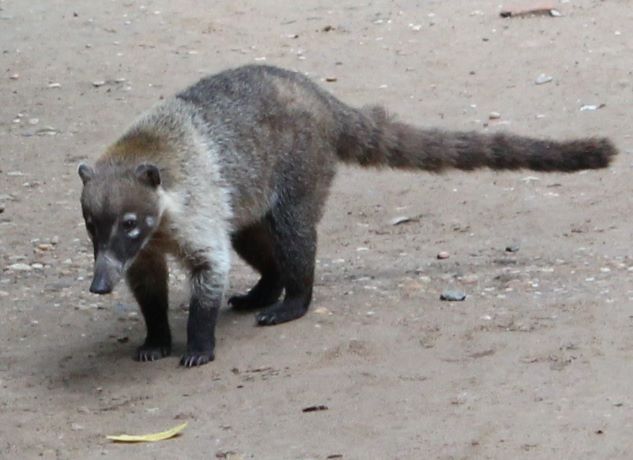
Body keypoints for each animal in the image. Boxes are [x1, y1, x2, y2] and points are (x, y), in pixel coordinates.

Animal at [78, 64, 617, 367]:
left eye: (129, 223)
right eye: (91, 226)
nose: (98, 286)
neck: (142, 155)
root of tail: (325, 101)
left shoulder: (195, 207)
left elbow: (211, 267)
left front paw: (198, 340)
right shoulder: (148, 245)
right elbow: (147, 283)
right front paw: (155, 335)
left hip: (300, 168)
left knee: (292, 234)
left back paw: (294, 298)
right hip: (247, 192)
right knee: (253, 238)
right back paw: (265, 288)